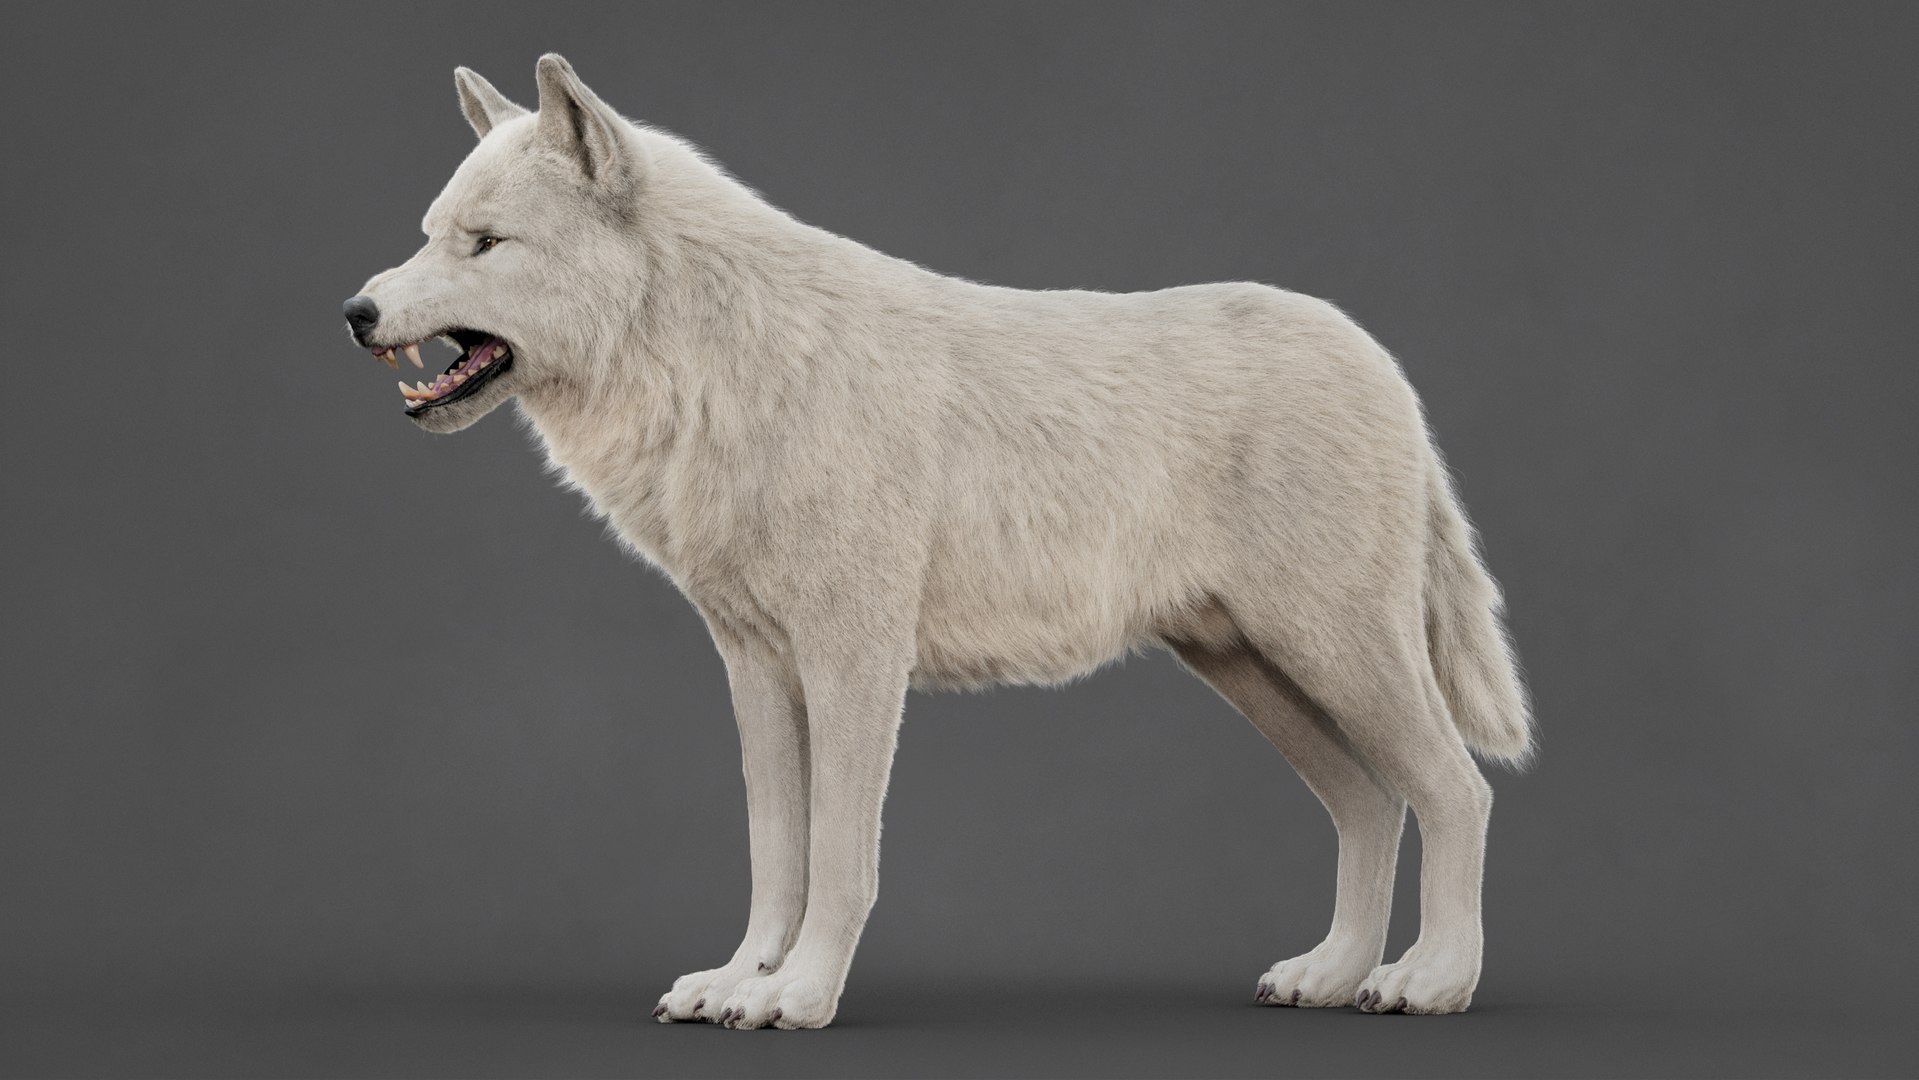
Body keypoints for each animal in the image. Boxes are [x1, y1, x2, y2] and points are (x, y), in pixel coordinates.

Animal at [343, 54, 1532, 1029]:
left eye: (484, 244)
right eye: (428, 233)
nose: (355, 312)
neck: (720, 368)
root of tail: (1380, 361)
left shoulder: (854, 658)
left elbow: (839, 856)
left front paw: (801, 998)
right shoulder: (755, 665)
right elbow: (775, 851)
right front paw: (738, 983)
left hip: (1334, 654)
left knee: (1457, 791)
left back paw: (1431, 981)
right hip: (1253, 671)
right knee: (1375, 803)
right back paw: (1329, 975)